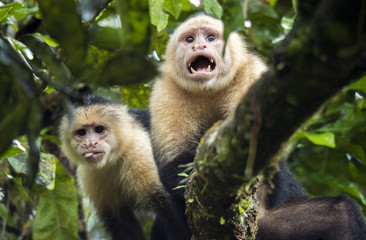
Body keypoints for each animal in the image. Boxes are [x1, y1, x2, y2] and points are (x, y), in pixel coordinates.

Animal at [59, 95, 187, 240]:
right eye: (81, 132)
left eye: (99, 129)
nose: (90, 144)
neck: (113, 159)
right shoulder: (89, 174)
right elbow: (123, 226)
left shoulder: (139, 152)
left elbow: (169, 207)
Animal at [149, 12, 366, 239]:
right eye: (190, 39)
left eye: (210, 37)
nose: (199, 46)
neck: (209, 89)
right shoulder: (164, 92)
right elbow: (172, 163)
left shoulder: (251, 74)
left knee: (343, 213)